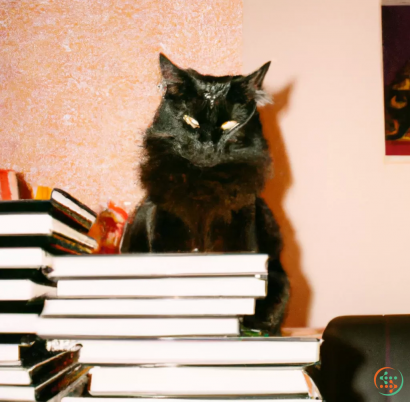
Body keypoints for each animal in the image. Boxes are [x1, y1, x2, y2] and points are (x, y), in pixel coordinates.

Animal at [123, 55, 290, 334]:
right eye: (191, 121)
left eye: (229, 124)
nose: (207, 145)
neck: (203, 186)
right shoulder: (168, 229)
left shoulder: (240, 230)